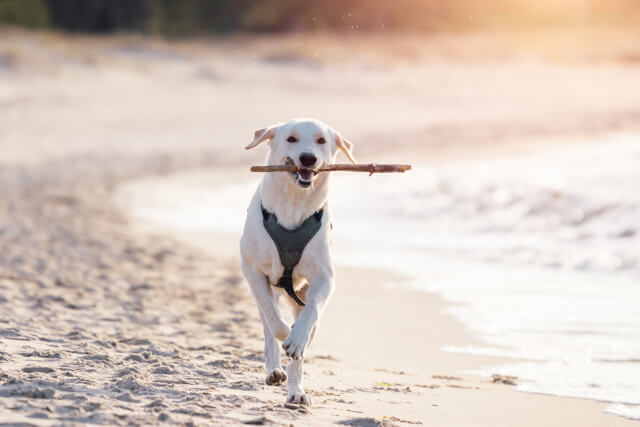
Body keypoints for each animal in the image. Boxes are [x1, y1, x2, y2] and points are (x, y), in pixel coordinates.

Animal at [240, 117, 358, 404]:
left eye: (321, 141)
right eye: (291, 139)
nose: (308, 158)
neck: (294, 203)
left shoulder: (324, 278)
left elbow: (311, 312)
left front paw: (298, 337)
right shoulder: (252, 269)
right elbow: (272, 318)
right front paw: (286, 334)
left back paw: (296, 391)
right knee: (267, 320)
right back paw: (275, 370)